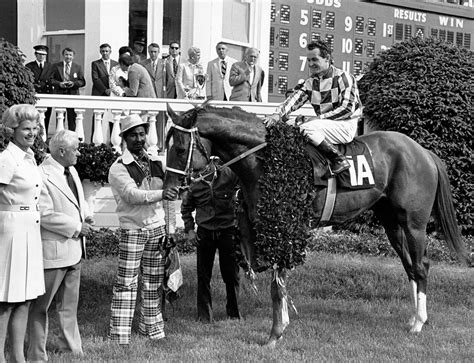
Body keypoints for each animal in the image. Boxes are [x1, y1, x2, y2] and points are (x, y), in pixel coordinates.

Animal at [162, 104, 462, 348]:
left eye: (179, 149)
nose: (169, 190)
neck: (266, 159)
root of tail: (423, 151)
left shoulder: (282, 224)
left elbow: (277, 284)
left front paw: (275, 334)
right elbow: (280, 280)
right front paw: (281, 326)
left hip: (414, 223)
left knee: (421, 266)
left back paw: (419, 322)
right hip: (392, 223)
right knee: (409, 266)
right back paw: (414, 318)